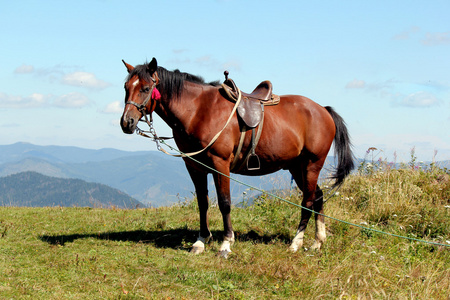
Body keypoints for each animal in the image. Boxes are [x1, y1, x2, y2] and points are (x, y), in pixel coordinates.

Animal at [120, 57, 356, 256]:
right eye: (126, 88)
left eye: (146, 88)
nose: (126, 122)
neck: (199, 111)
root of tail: (322, 110)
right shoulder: (194, 166)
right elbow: (203, 202)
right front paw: (201, 240)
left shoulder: (220, 163)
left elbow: (224, 202)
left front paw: (226, 244)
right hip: (296, 167)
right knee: (317, 196)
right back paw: (317, 241)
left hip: (311, 164)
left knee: (307, 200)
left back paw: (296, 242)